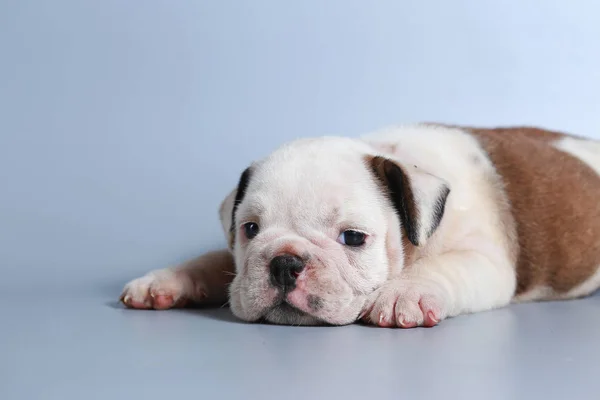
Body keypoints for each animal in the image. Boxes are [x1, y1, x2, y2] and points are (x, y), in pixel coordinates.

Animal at [119, 125, 600, 328]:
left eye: (352, 238)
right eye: (250, 229)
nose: (284, 263)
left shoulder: (484, 261)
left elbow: (438, 268)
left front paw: (403, 293)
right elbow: (213, 260)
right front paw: (165, 281)